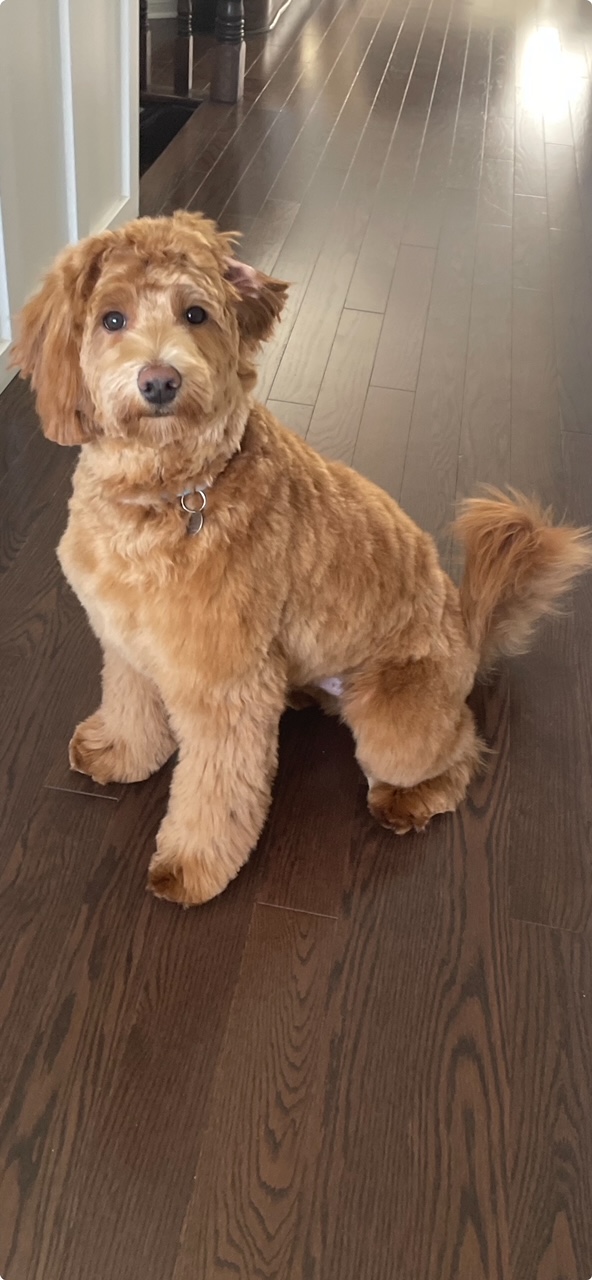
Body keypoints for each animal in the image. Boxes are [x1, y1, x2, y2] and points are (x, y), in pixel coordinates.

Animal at [12, 211, 592, 907]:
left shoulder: (223, 688)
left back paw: (409, 800)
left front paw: (192, 865)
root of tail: (467, 634)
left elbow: (216, 791)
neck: (173, 493)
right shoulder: (126, 642)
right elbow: (130, 704)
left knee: (461, 750)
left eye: (196, 314)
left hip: (396, 722)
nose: (159, 380)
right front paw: (121, 753)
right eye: (112, 319)